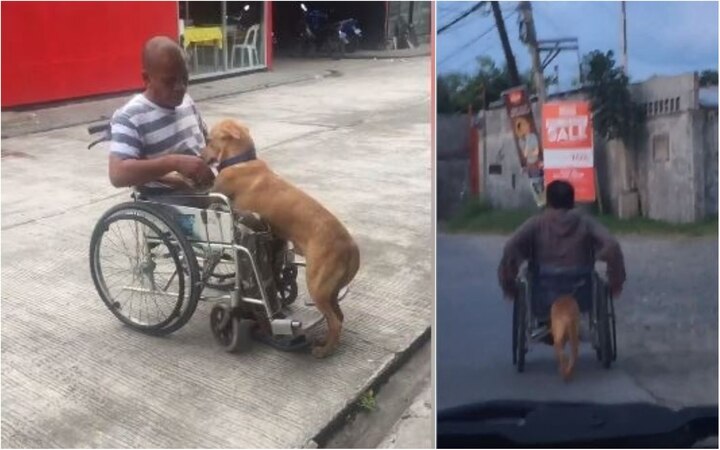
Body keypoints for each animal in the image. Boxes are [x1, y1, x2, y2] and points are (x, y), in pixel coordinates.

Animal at [200, 119, 360, 358]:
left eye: (209, 139)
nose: (200, 156)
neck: (242, 160)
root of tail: (350, 247)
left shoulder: (215, 197)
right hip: (329, 290)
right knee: (338, 316)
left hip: (318, 286)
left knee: (335, 321)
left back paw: (324, 350)